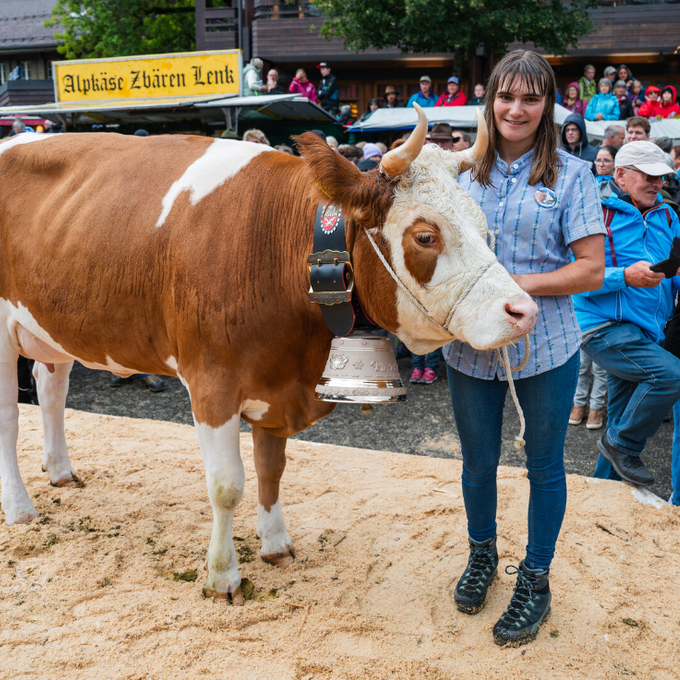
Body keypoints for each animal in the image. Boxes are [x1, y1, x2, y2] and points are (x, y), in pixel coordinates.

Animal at [0, 107, 536, 604]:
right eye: (425, 235)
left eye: (484, 226)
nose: (524, 310)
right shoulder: (212, 382)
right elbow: (226, 484)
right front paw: (222, 577)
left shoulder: (276, 382)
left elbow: (271, 468)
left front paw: (276, 544)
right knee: (9, 420)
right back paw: (20, 509)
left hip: (52, 326)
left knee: (51, 389)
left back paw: (61, 471)